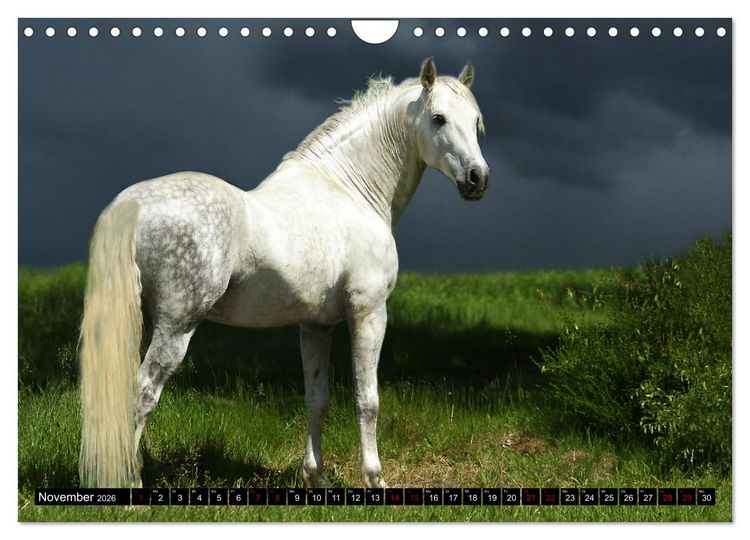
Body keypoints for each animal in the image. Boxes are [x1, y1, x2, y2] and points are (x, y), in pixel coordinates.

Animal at [78, 57, 490, 489]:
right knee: (141, 395)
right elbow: (368, 400)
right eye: (439, 118)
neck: (348, 191)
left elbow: (316, 399)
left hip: (139, 322)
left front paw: (314, 477)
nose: (477, 178)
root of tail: (129, 206)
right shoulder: (369, 314)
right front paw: (374, 478)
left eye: (475, 120)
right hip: (175, 328)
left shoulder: (315, 326)